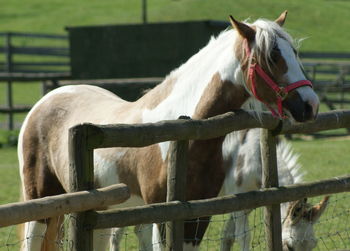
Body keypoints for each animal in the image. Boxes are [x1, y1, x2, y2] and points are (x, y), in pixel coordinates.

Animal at [18, 11, 320, 251]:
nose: (310, 105)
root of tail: (47, 100)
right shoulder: (163, 215)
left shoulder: (198, 215)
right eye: (272, 56)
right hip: (41, 205)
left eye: (294, 53)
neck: (186, 130)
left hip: (99, 212)